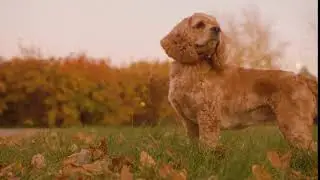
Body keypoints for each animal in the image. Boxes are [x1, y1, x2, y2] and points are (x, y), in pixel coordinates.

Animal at [160, 12, 318, 150]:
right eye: (200, 24)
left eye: (217, 25)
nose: (217, 29)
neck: (192, 67)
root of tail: (301, 78)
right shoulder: (190, 122)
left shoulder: (208, 116)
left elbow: (207, 146)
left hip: (295, 125)